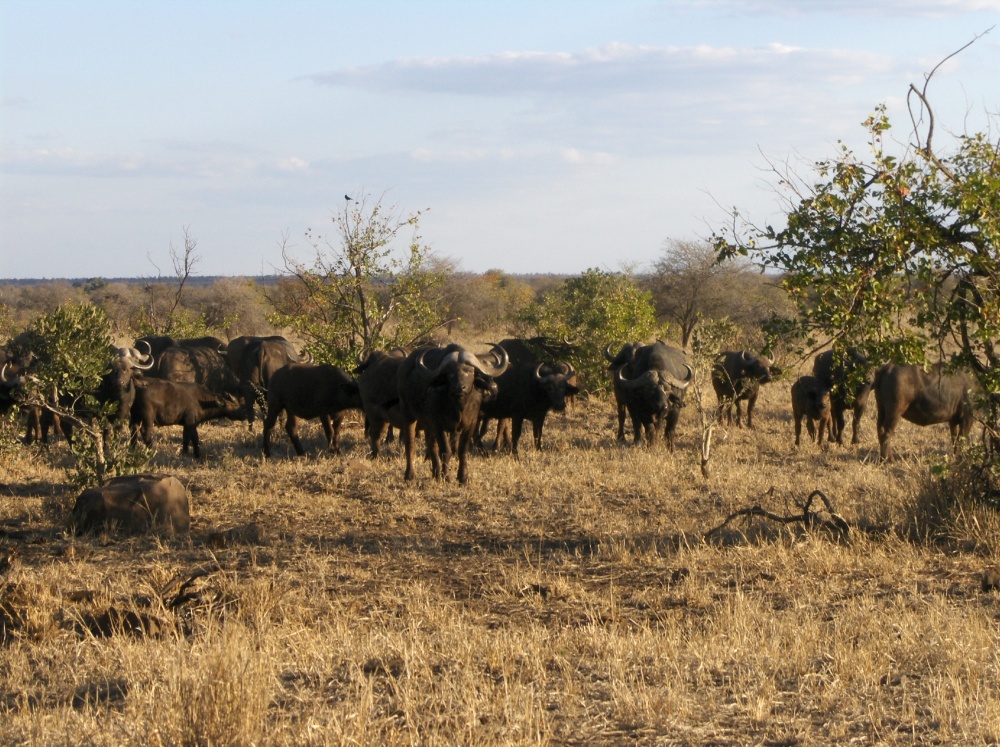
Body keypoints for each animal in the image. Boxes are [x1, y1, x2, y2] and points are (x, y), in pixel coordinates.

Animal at [398, 344, 508, 486]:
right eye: (450, 373)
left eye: (469, 371)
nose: (459, 388)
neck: (459, 406)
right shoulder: (438, 424)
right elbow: (446, 451)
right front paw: (447, 477)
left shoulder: (470, 424)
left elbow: (462, 450)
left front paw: (463, 477)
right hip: (409, 415)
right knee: (410, 444)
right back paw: (409, 475)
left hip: (428, 425)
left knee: (431, 445)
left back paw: (436, 474)